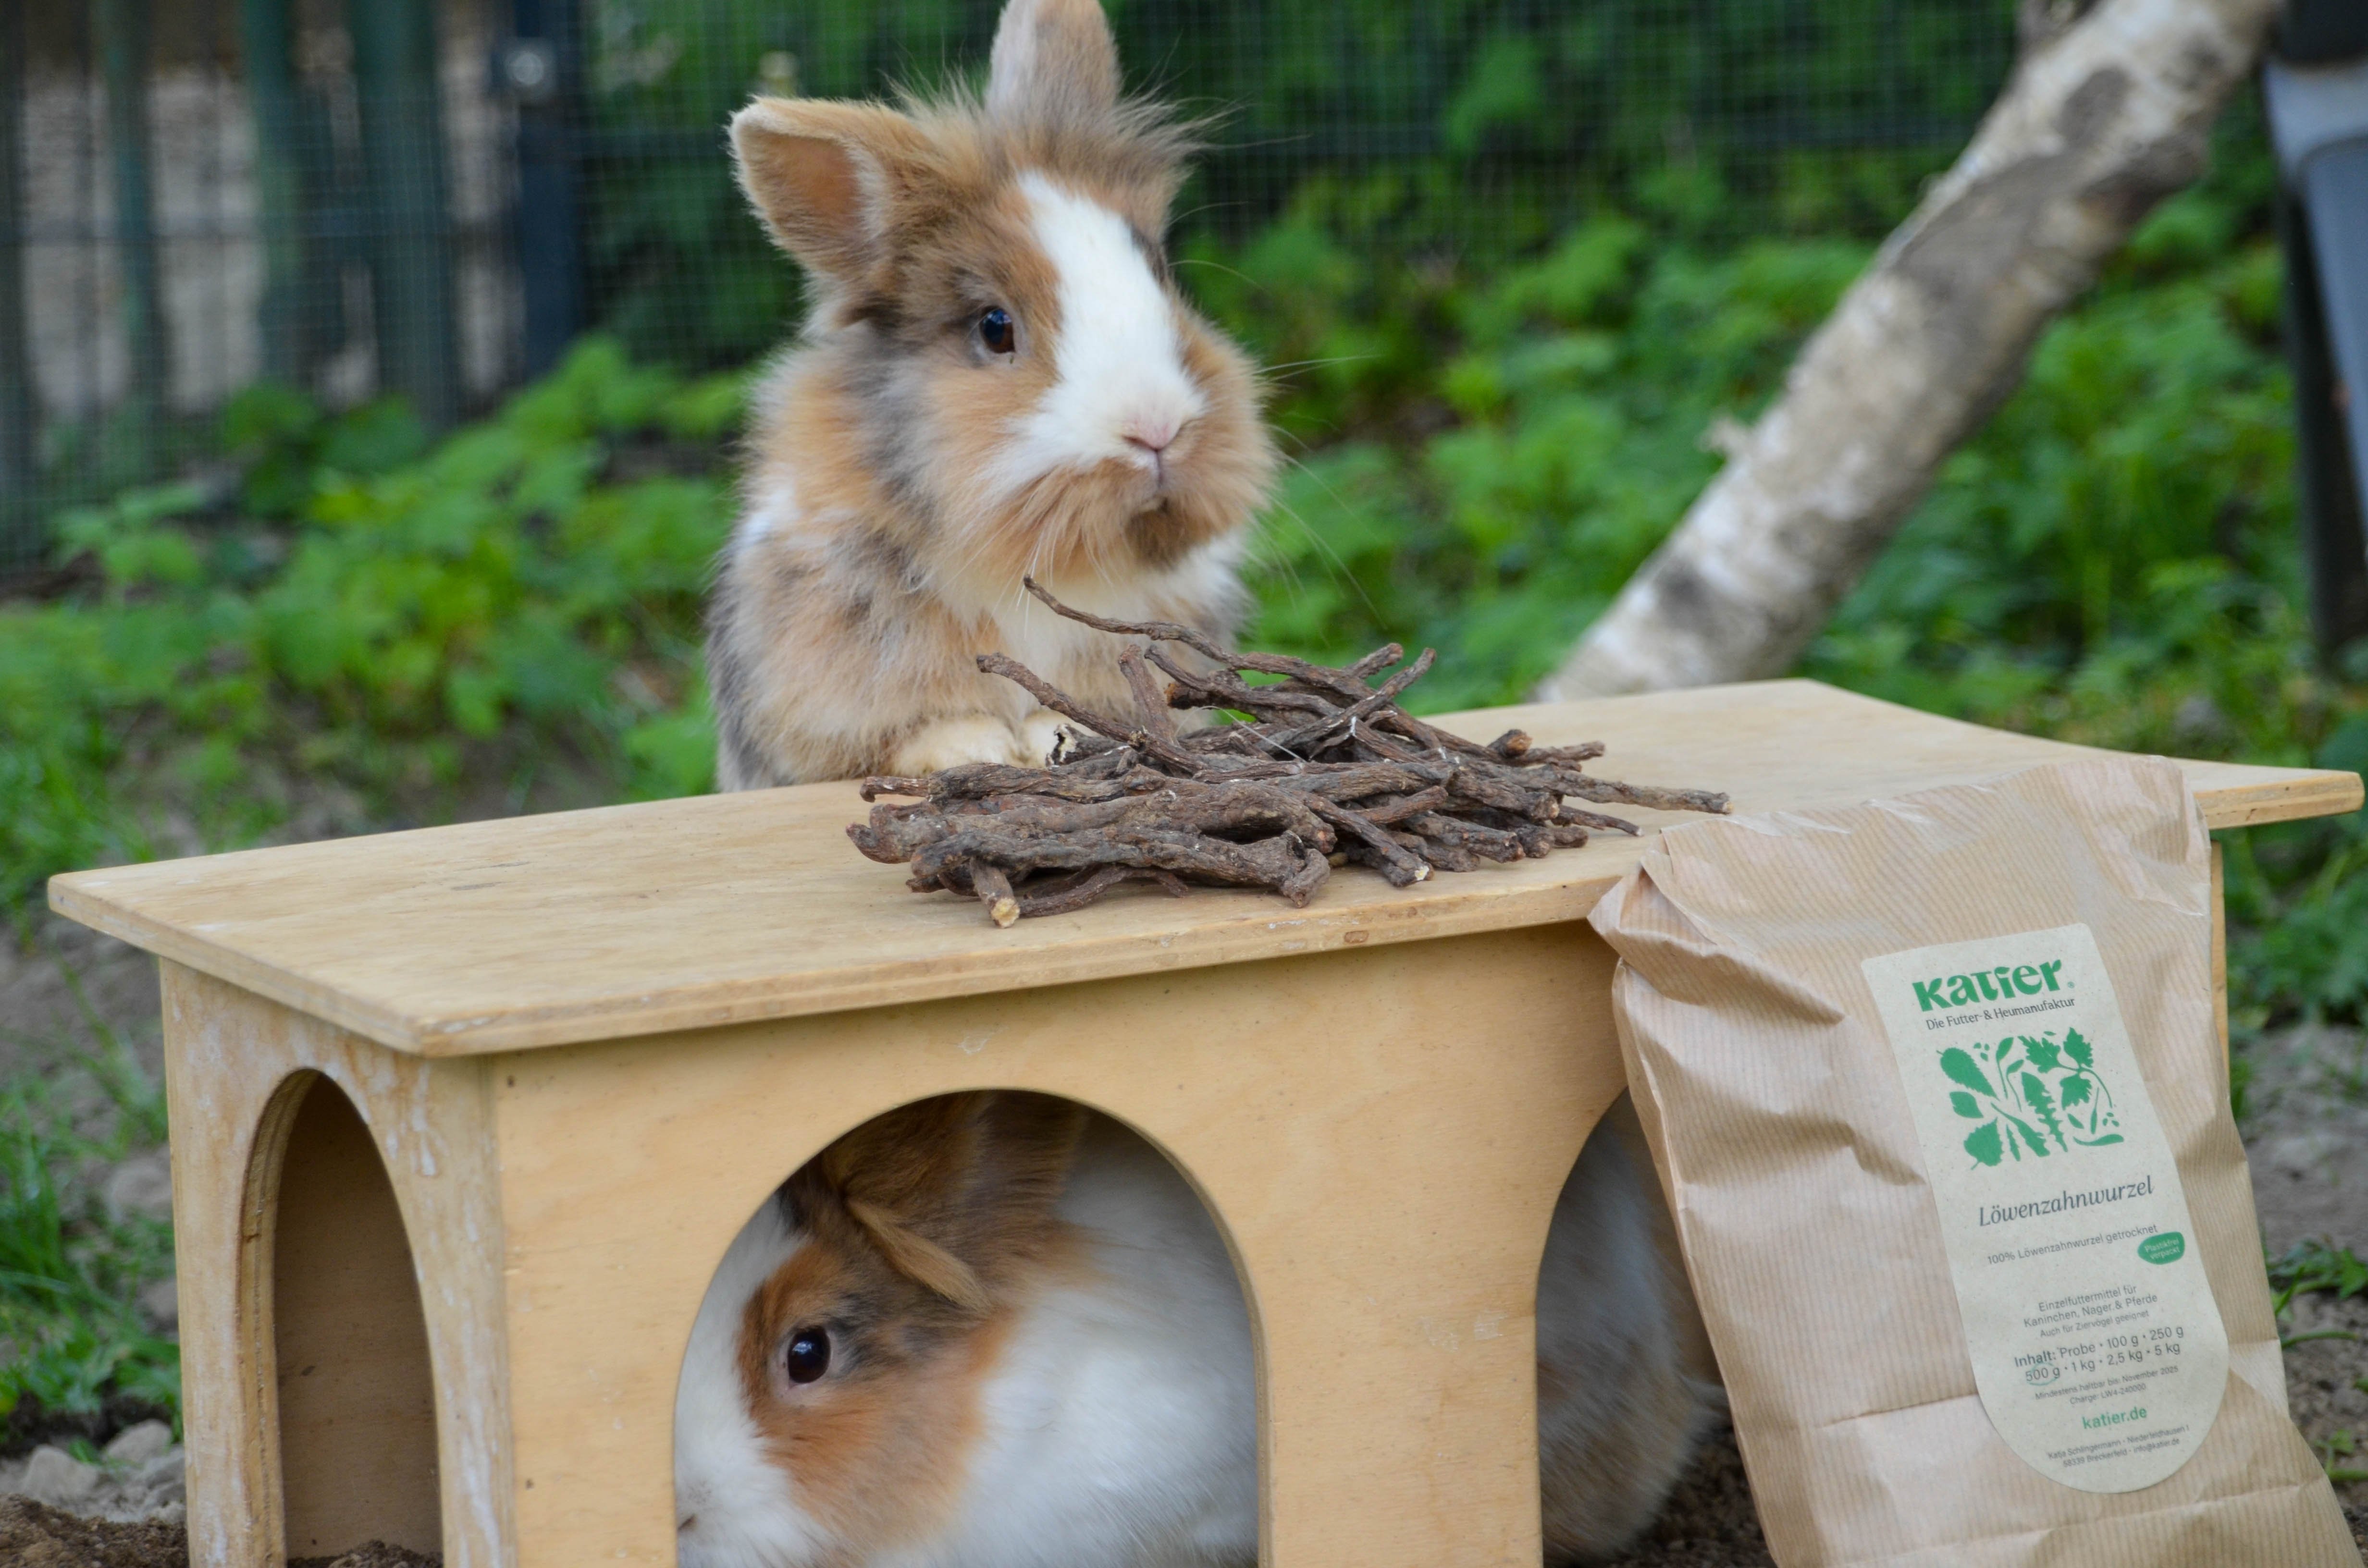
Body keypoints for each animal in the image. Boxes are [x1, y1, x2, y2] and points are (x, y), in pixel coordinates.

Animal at [705, 0, 1279, 791]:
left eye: (1162, 274)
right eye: (994, 327)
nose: (1157, 427)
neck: (1042, 561)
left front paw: (1053, 738)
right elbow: (904, 728)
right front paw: (967, 748)